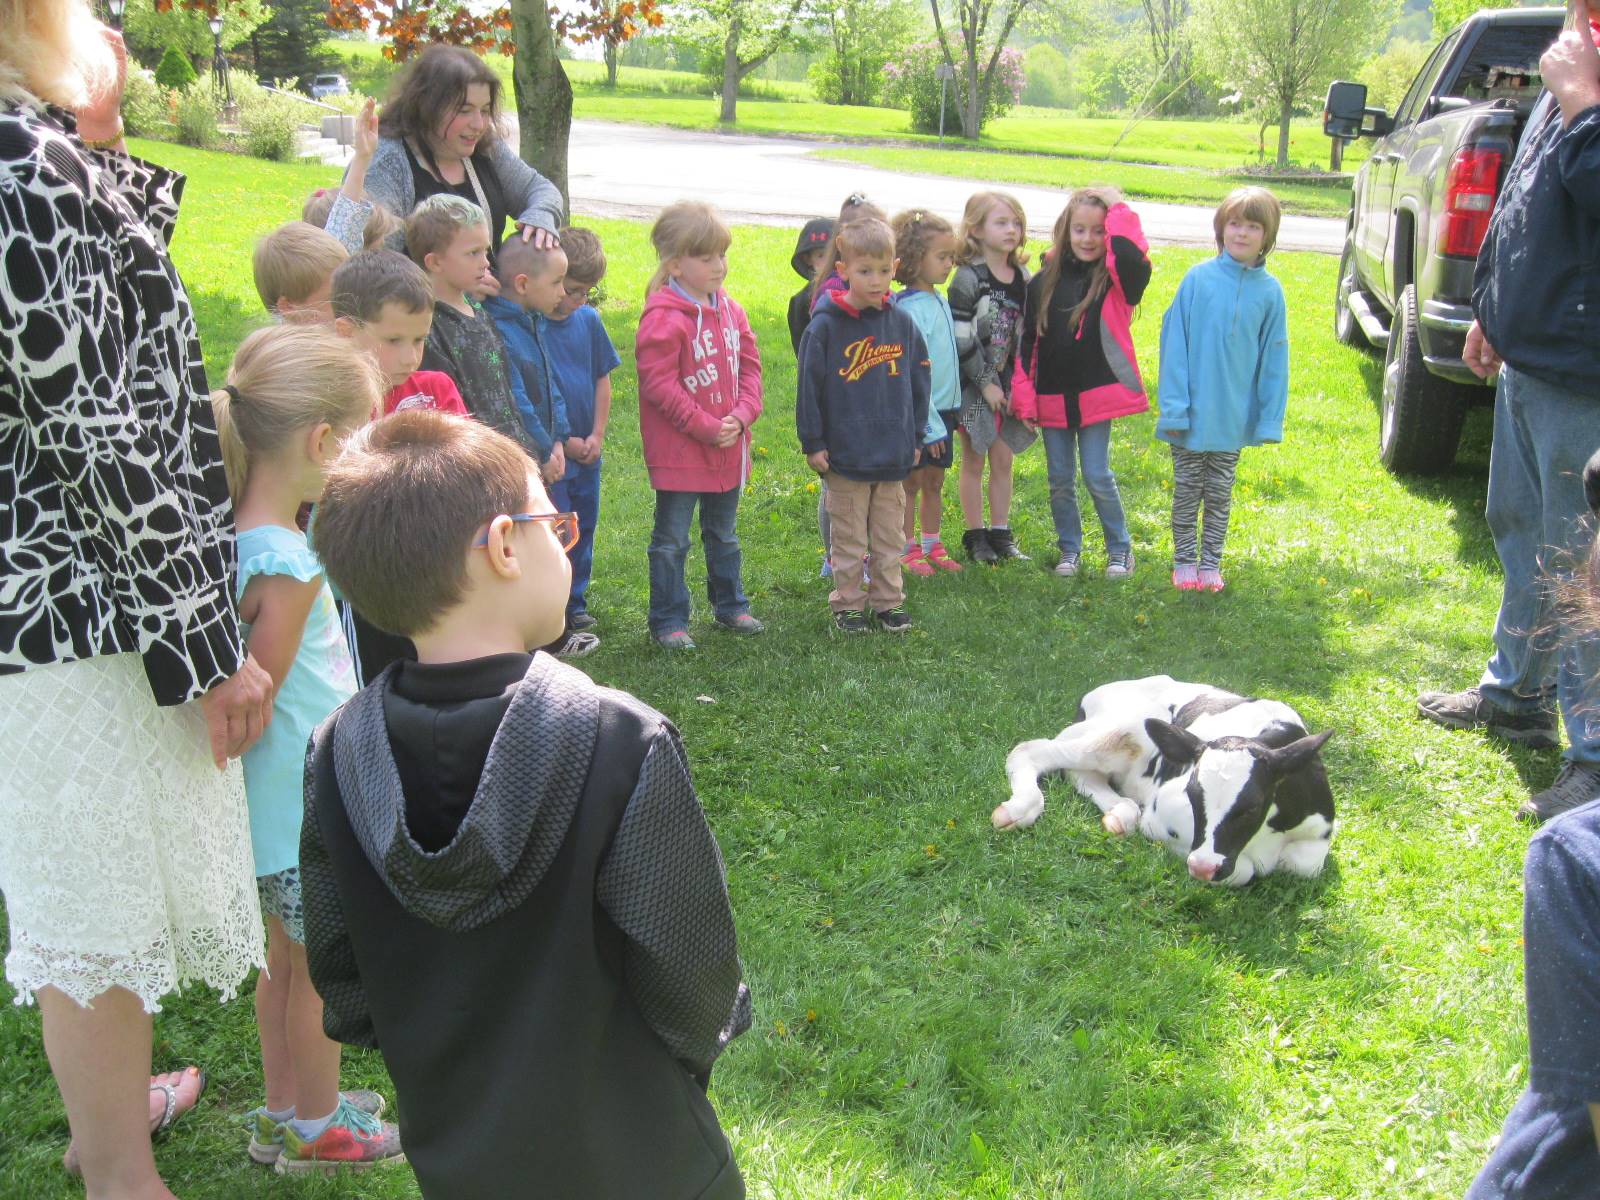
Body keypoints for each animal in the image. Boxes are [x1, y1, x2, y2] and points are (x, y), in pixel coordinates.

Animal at [992, 681, 1331, 889]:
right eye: (1192, 793)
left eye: (1252, 807)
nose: (1202, 867)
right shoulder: (1167, 806)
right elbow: (1245, 869)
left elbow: (1306, 864)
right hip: (1122, 731)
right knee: (1032, 750)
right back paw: (1019, 809)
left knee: (1082, 774)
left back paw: (1120, 816)